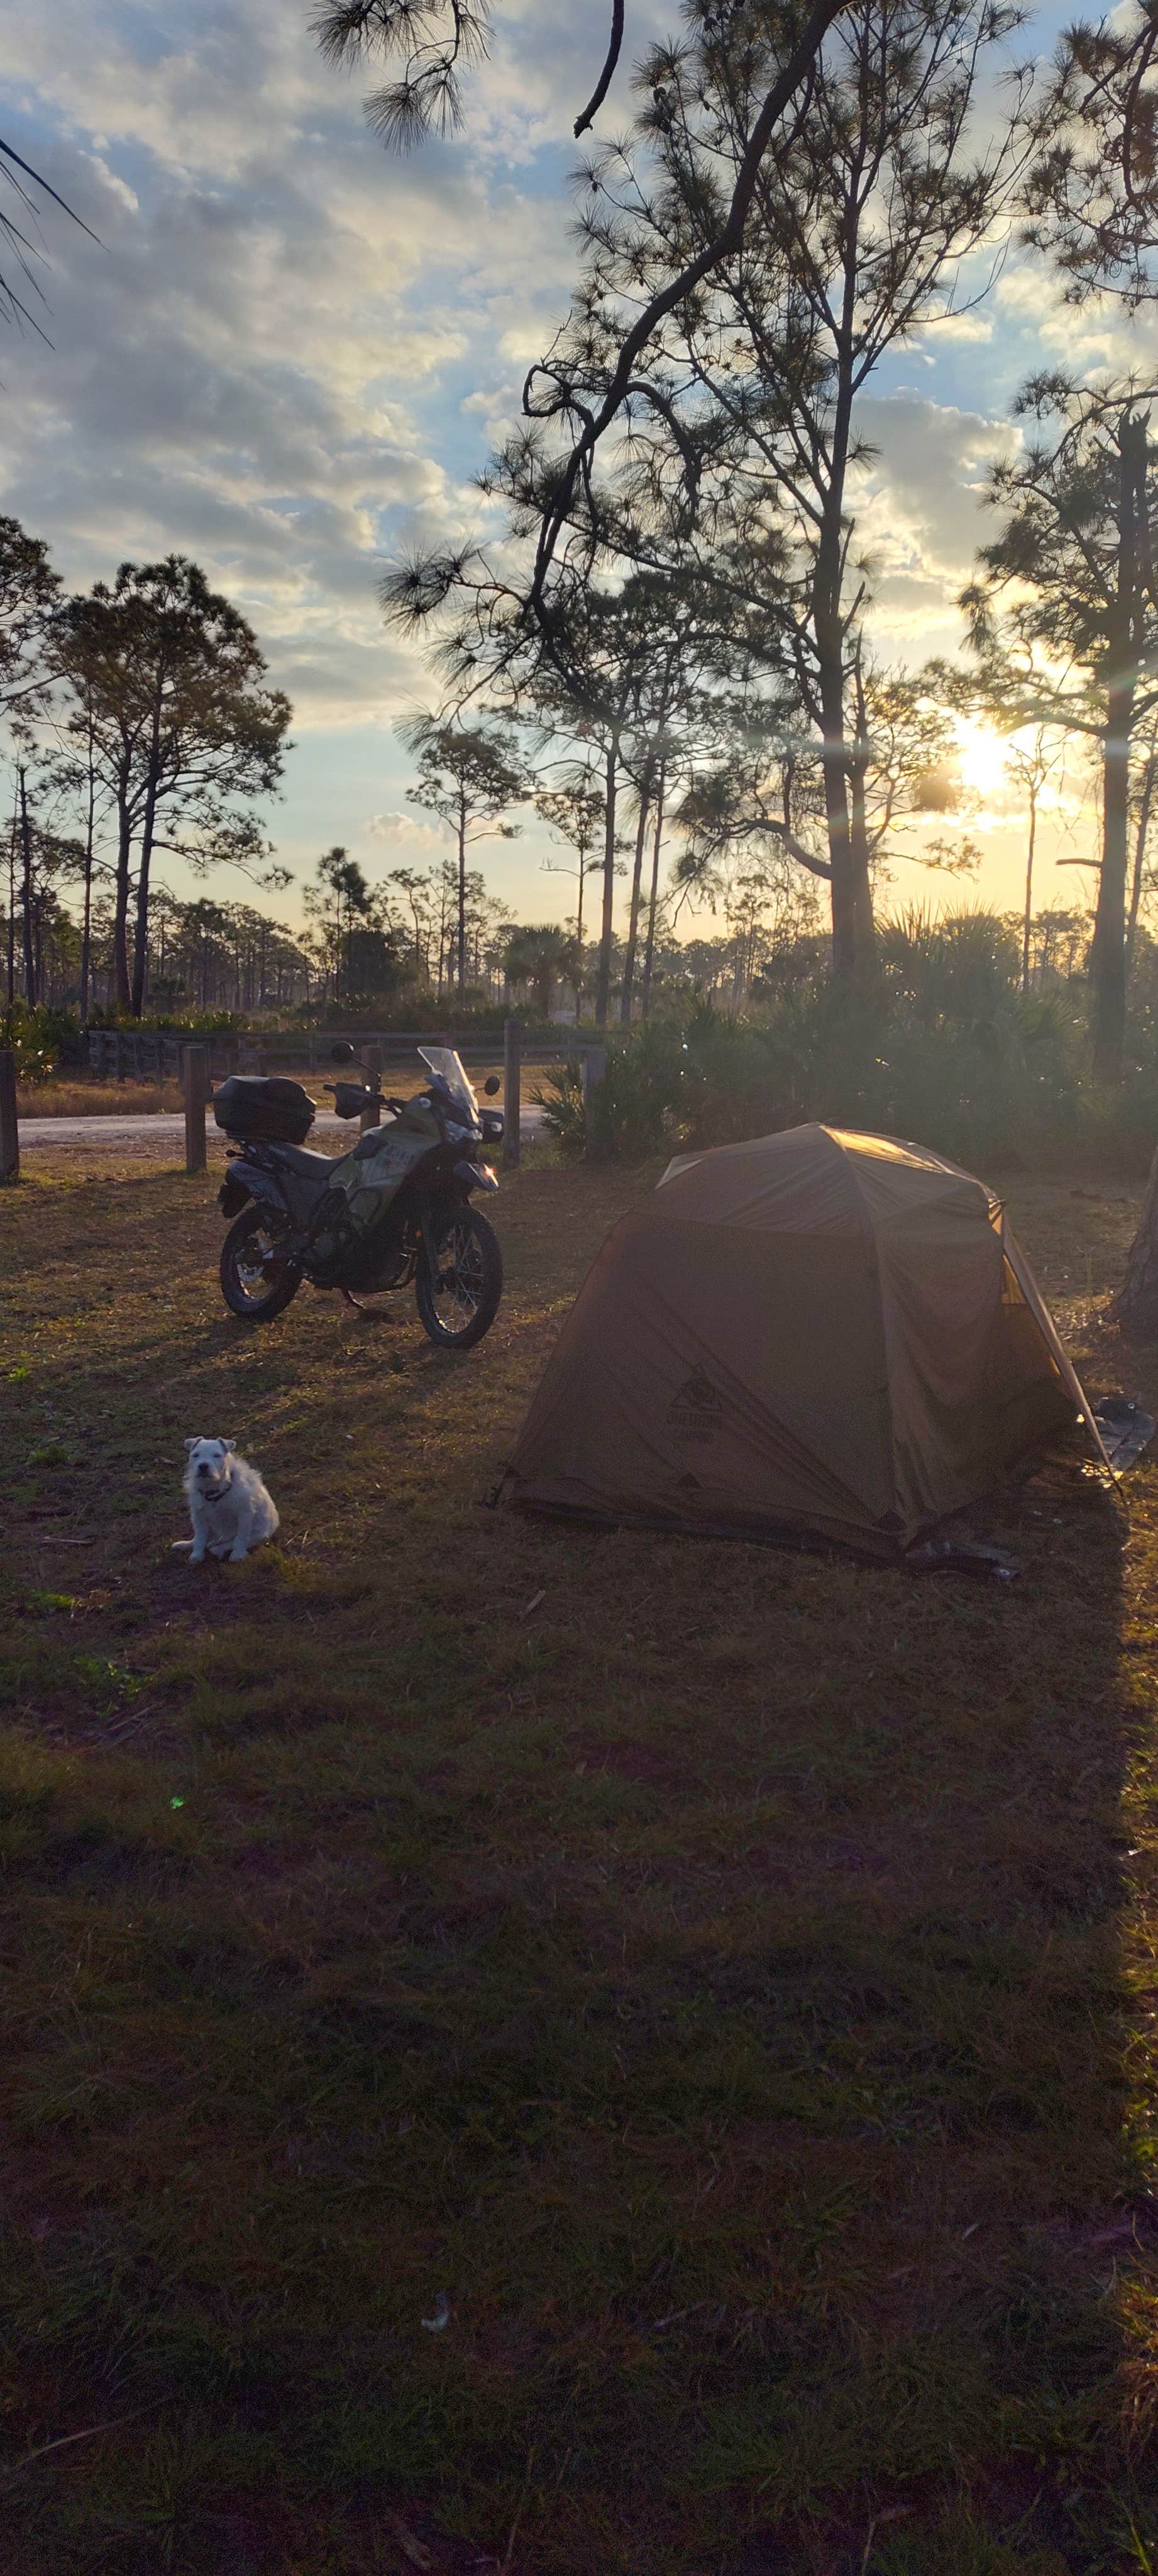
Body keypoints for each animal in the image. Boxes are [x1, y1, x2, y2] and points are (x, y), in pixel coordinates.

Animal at [182, 1442, 279, 1555]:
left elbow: (241, 1538)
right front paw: (197, 1554)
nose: (203, 1466)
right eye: (196, 1455)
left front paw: (238, 1554)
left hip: (258, 1535)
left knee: (234, 1542)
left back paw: (218, 1549)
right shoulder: (198, 1515)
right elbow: (200, 1537)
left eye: (217, 1455)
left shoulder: (245, 1515)